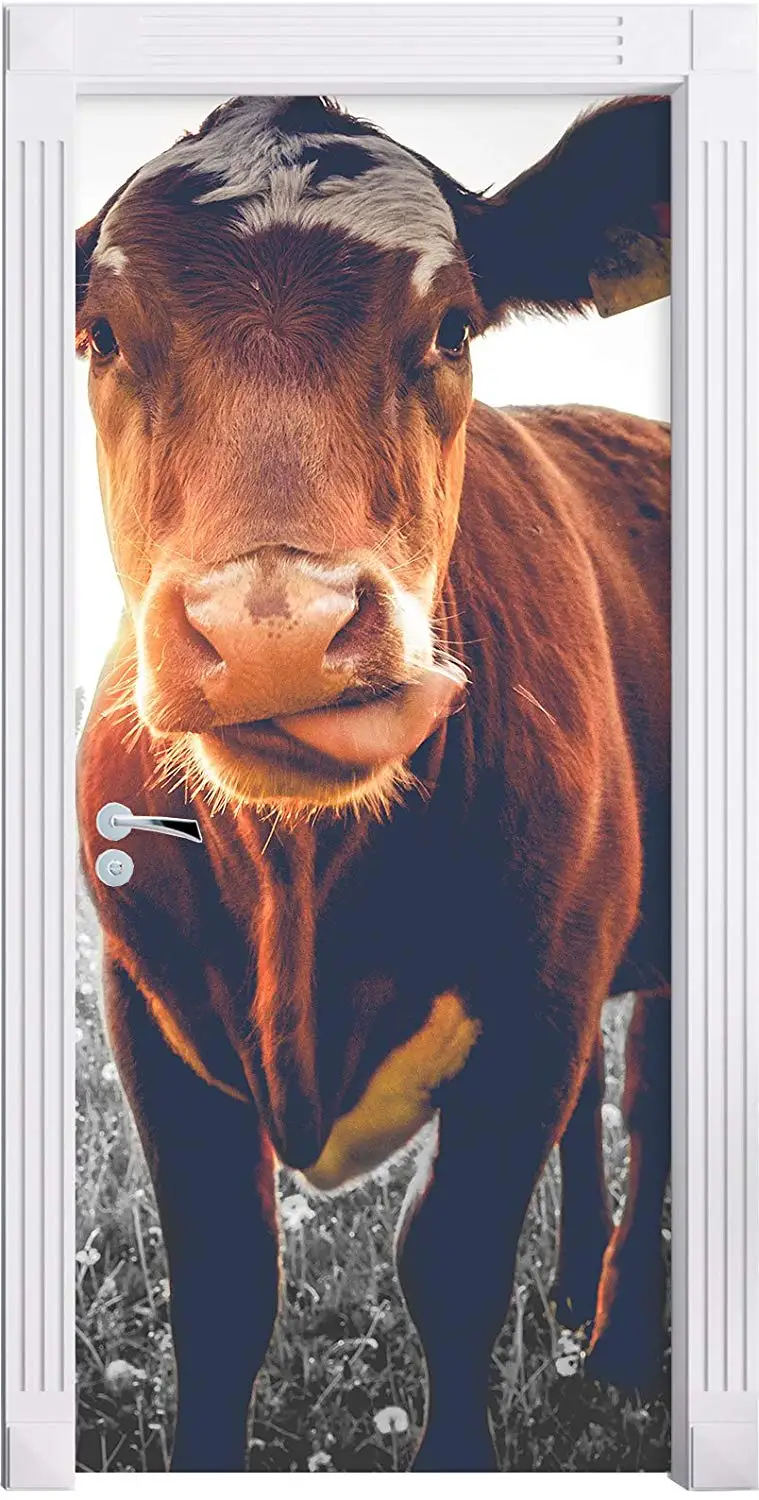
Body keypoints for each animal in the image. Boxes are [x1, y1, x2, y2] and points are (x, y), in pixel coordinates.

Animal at [76, 95, 671, 1473]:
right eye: (103, 332)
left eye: (452, 325)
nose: (277, 629)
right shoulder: (145, 1001)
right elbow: (224, 1286)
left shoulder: (537, 999)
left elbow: (448, 1265)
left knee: (649, 1109)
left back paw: (618, 1349)